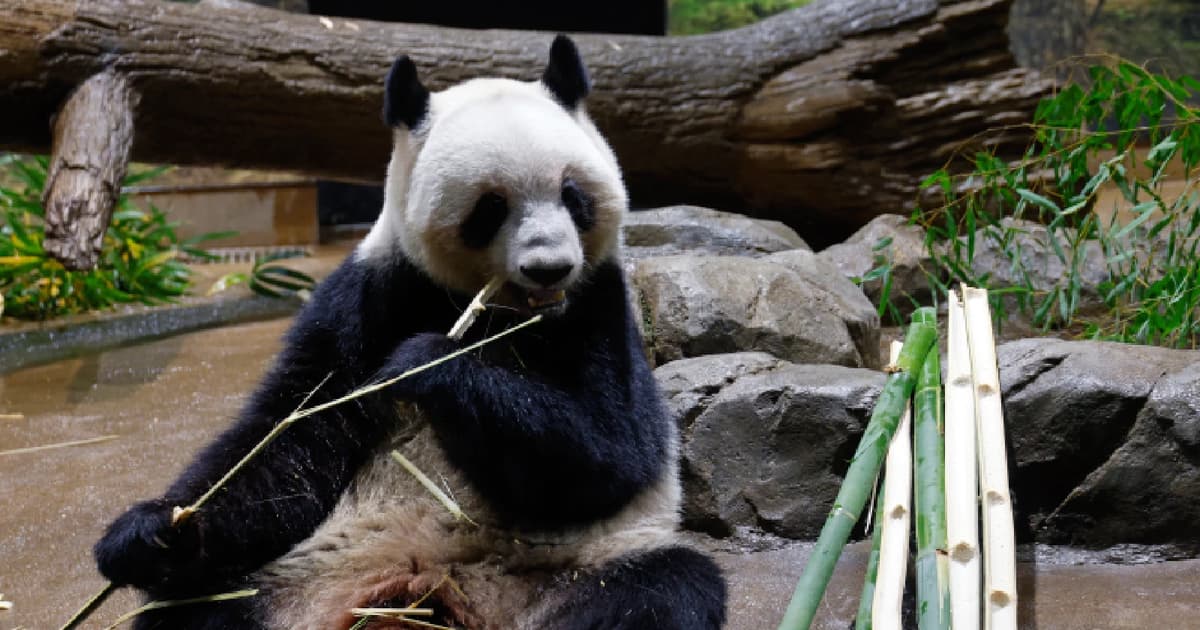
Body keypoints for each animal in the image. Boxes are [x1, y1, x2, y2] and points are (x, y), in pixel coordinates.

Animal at [94, 35, 727, 630]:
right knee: (200, 605)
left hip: (564, 572)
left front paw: (427, 362)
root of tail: (423, 589)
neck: (500, 313)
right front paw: (152, 531)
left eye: (573, 196)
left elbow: (612, 452)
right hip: (299, 576)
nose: (549, 268)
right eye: (491, 207)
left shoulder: (597, 304)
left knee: (660, 588)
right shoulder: (371, 295)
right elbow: (290, 442)